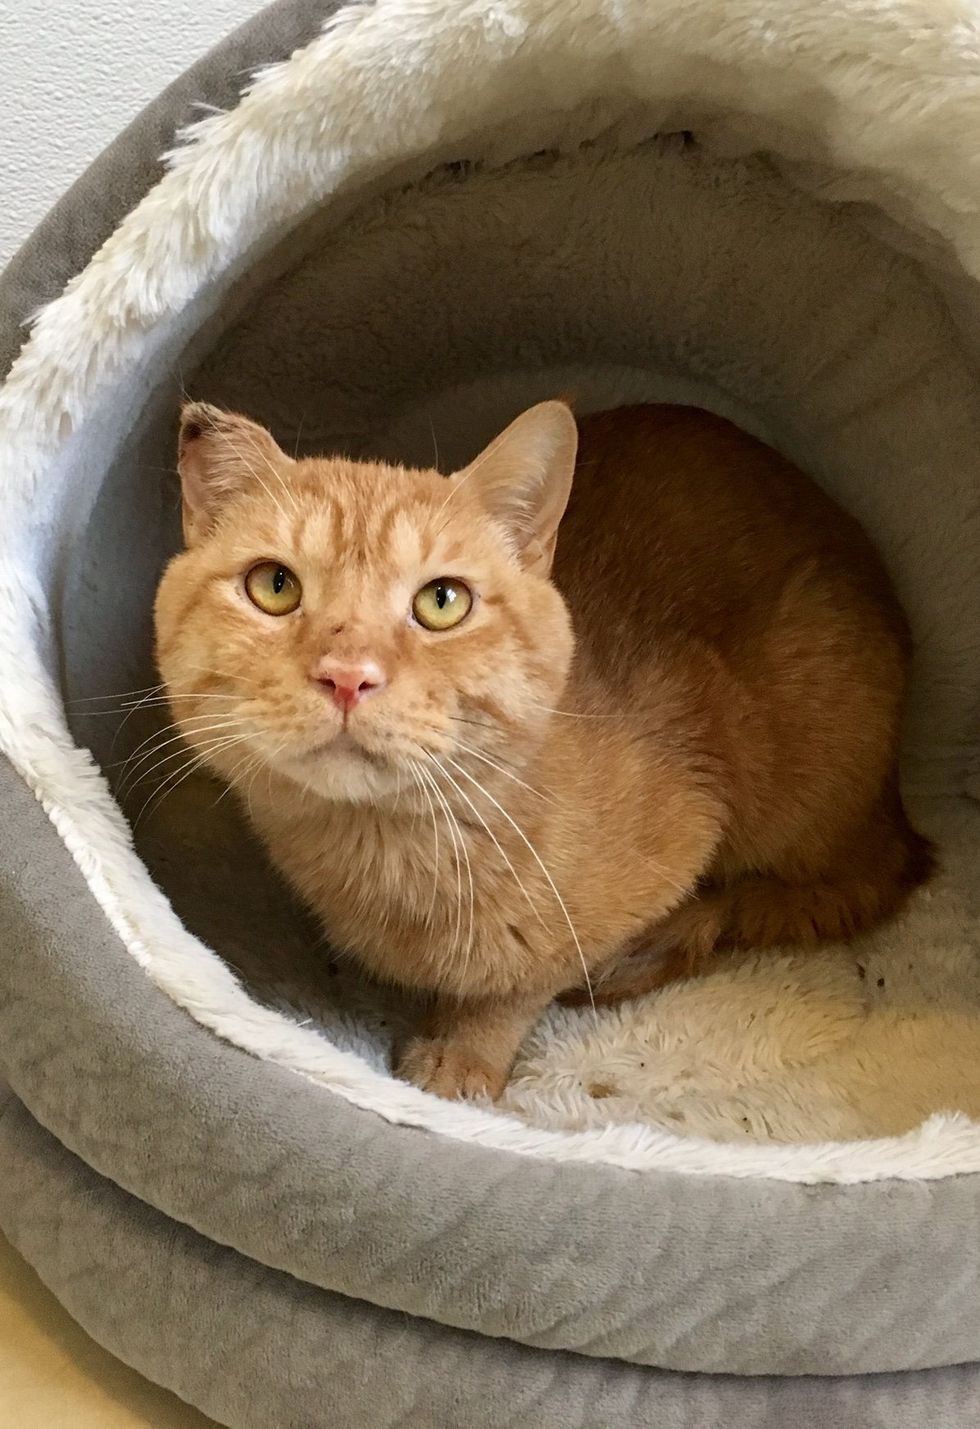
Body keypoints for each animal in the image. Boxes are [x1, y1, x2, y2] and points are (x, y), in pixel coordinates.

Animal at [155, 405, 937, 1103]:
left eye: (442, 601)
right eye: (274, 586)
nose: (348, 675)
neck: (393, 851)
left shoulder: (683, 831)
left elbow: (528, 977)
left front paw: (466, 1049)